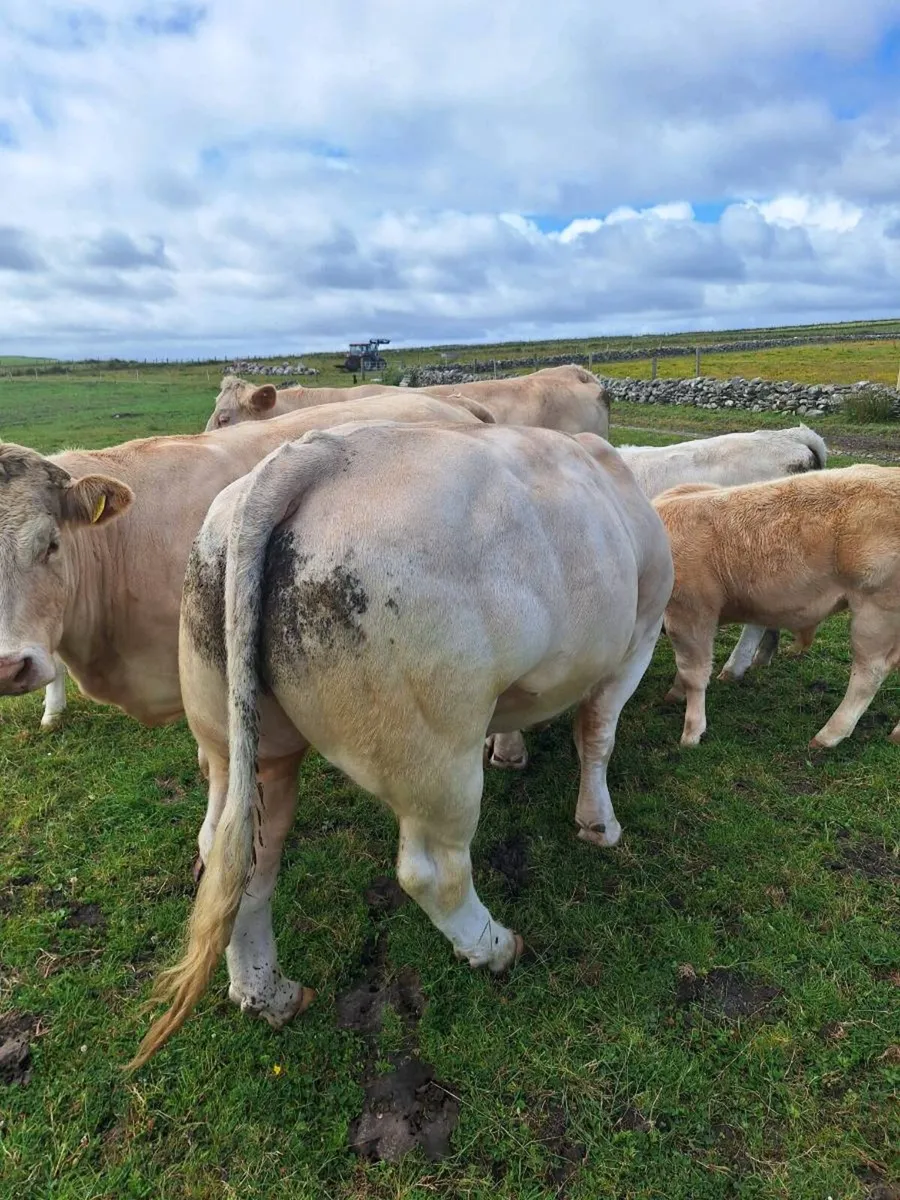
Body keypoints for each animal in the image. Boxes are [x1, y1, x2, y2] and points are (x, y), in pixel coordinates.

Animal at [127, 421, 673, 1069]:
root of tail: (316, 454)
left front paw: (510, 749)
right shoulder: (638, 638)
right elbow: (598, 734)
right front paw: (598, 823)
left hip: (242, 744)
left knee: (237, 856)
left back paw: (269, 993)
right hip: (434, 752)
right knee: (431, 870)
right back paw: (493, 946)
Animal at [653, 464, 900, 748]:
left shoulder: (690, 612)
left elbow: (693, 673)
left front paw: (691, 732)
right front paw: (675, 693)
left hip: (876, 611)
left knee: (869, 673)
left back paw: (828, 736)